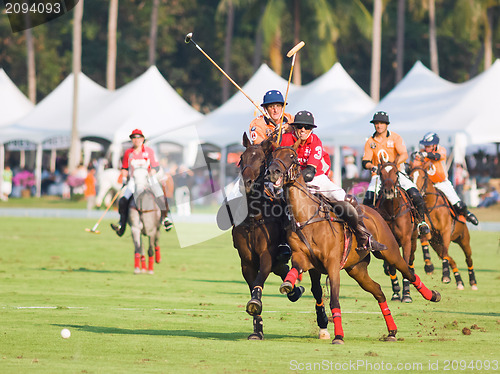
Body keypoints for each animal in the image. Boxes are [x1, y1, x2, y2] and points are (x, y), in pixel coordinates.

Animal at [228, 134, 312, 342]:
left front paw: (255, 302)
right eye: (241, 158)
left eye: (261, 160)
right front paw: (257, 329)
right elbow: (253, 283)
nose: (247, 183)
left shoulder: (266, 253)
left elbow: (260, 279)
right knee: (282, 268)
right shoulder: (247, 261)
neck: (254, 216)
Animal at [376, 162, 422, 302]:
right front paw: (396, 293)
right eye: (381, 173)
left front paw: (406, 294)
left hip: (413, 240)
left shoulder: (406, 240)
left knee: (411, 261)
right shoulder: (388, 243)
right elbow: (392, 268)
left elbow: (406, 265)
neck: (392, 211)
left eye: (396, 172)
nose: (389, 191)